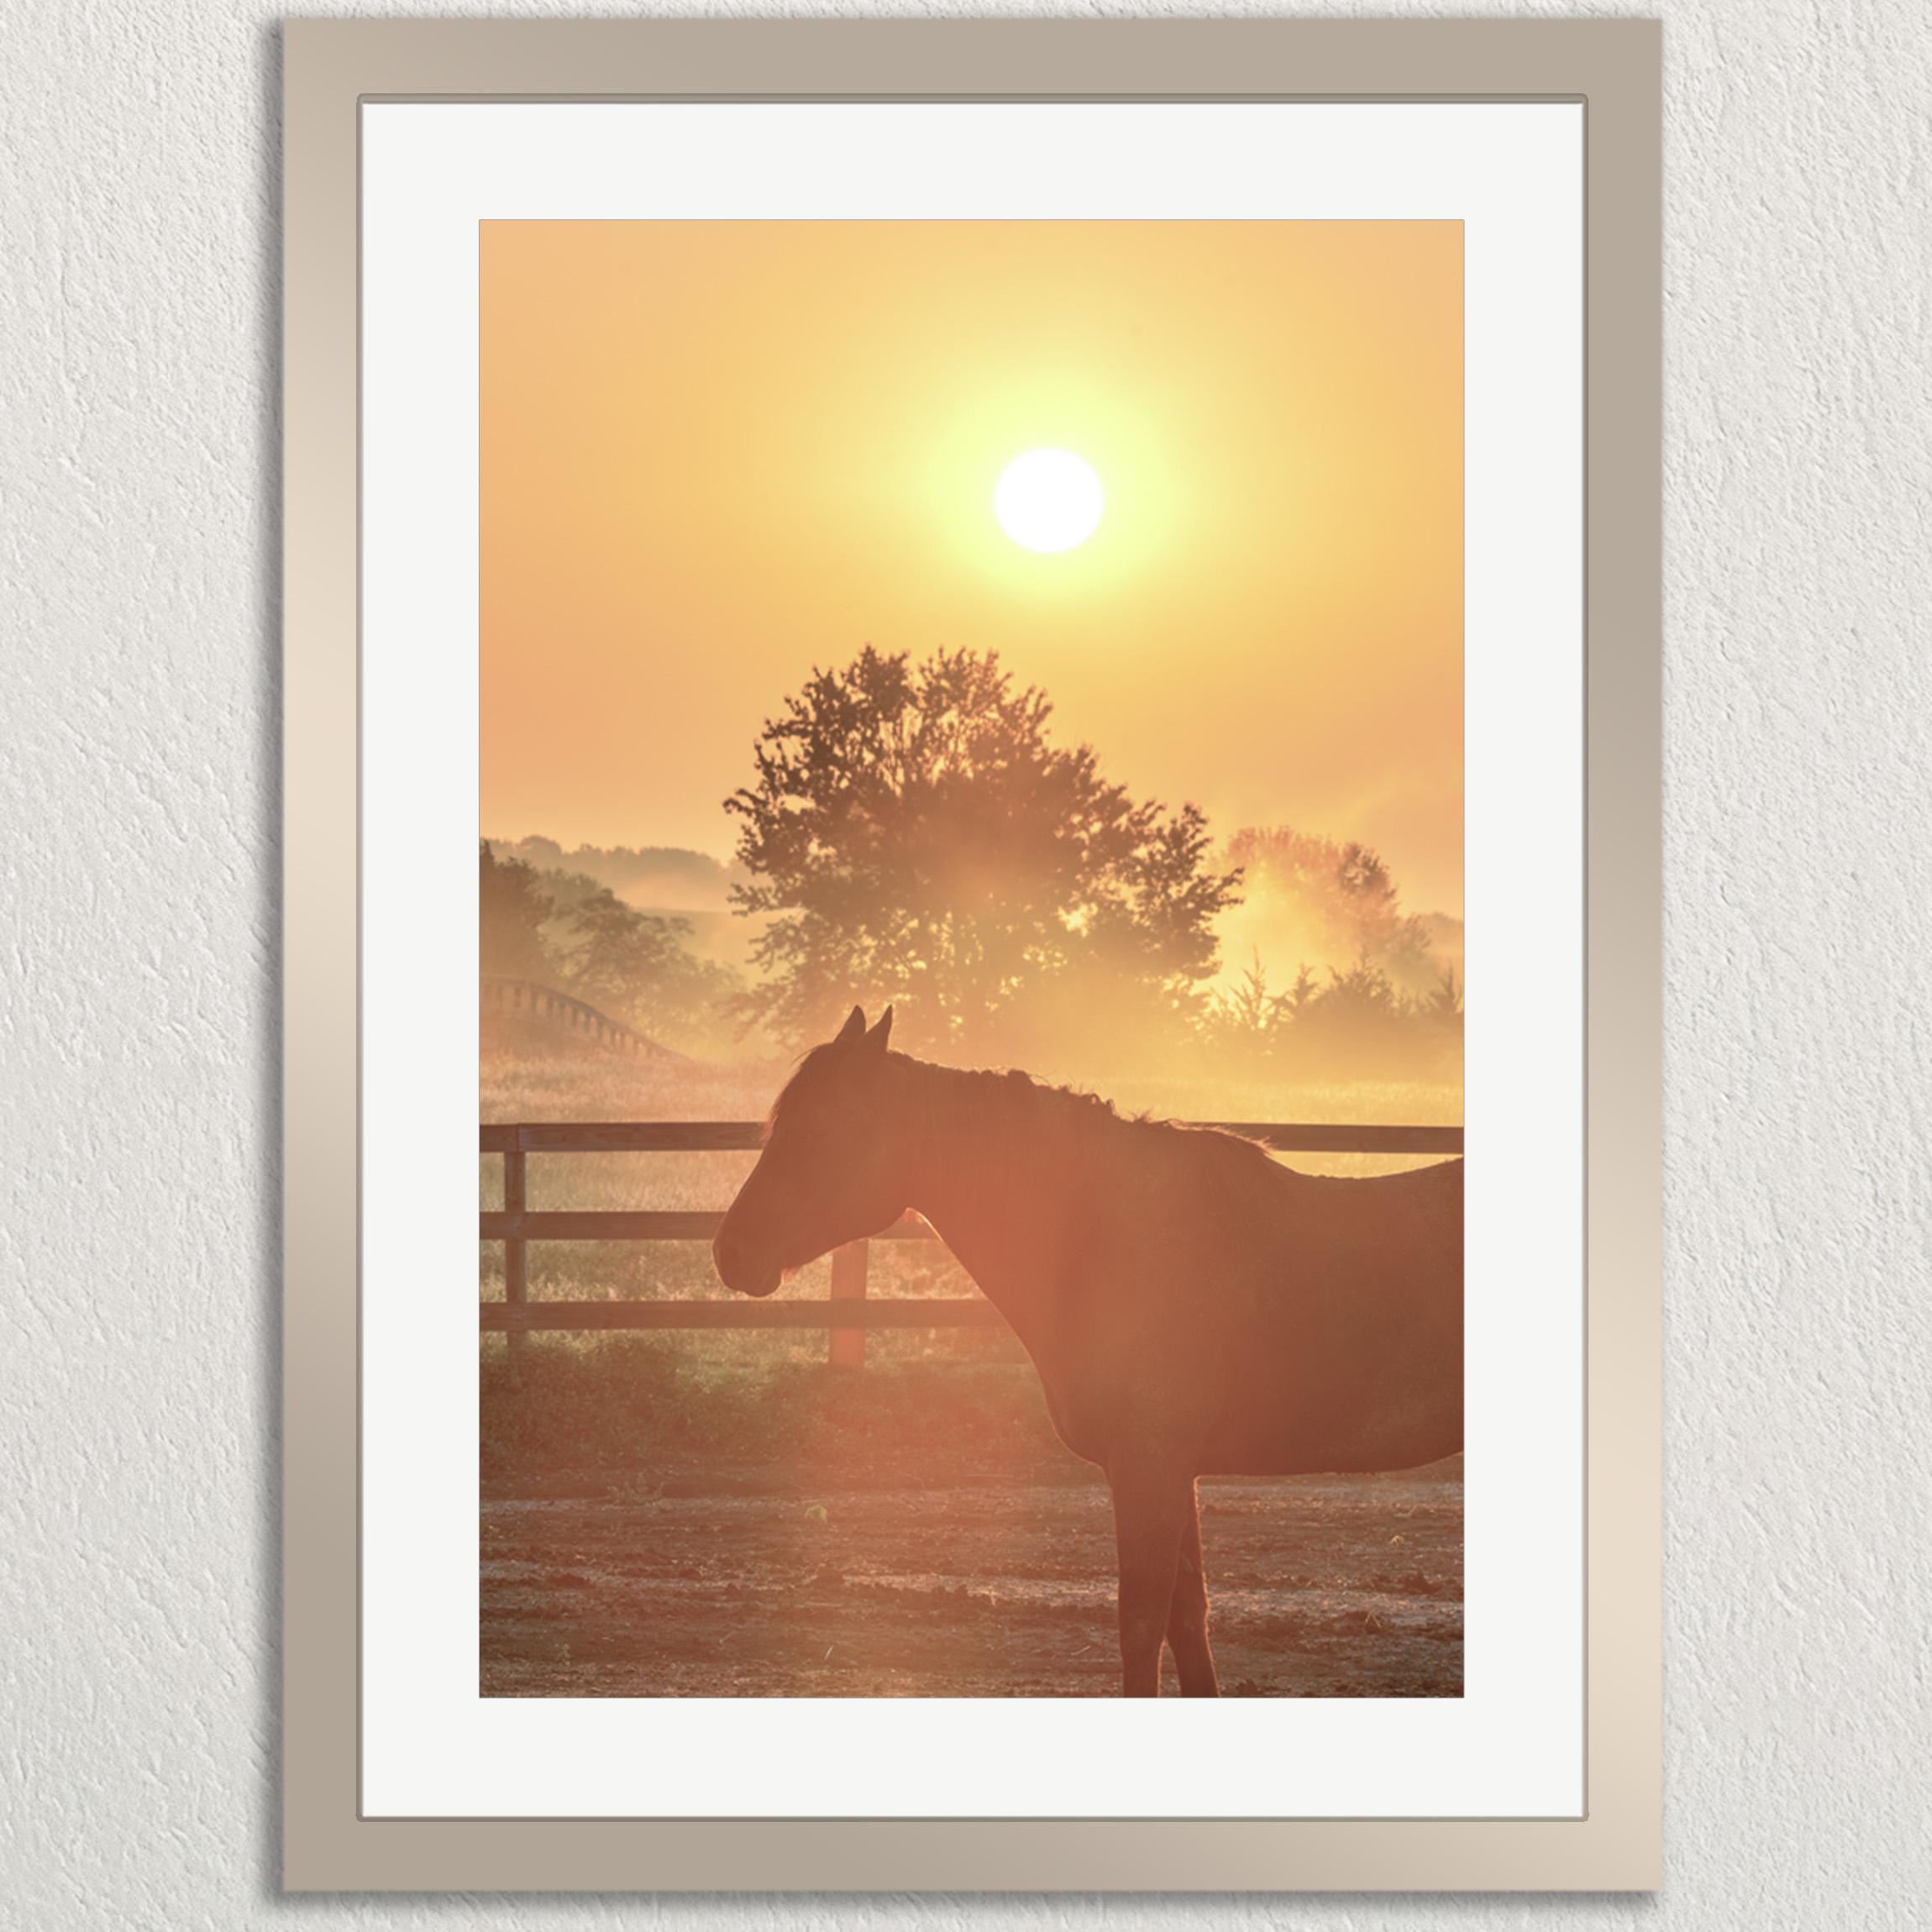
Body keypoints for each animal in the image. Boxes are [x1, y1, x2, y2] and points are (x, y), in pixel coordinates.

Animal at [712, 1005, 1463, 1697]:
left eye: (821, 1130)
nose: (731, 1252)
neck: (1103, 1237)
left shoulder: (1149, 1469)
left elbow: (1142, 1626)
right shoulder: (1172, 1473)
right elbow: (1188, 1623)